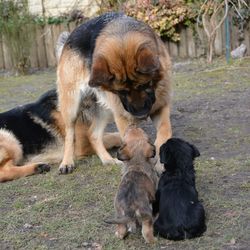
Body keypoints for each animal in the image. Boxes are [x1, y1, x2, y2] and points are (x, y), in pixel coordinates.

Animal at [56, 11, 172, 174]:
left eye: (144, 85)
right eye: (120, 91)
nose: (140, 114)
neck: (122, 34)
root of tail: (69, 37)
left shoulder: (161, 106)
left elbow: (165, 132)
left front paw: (161, 163)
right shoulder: (123, 116)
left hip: (106, 108)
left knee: (93, 134)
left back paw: (107, 160)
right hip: (72, 106)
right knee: (70, 133)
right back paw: (67, 162)